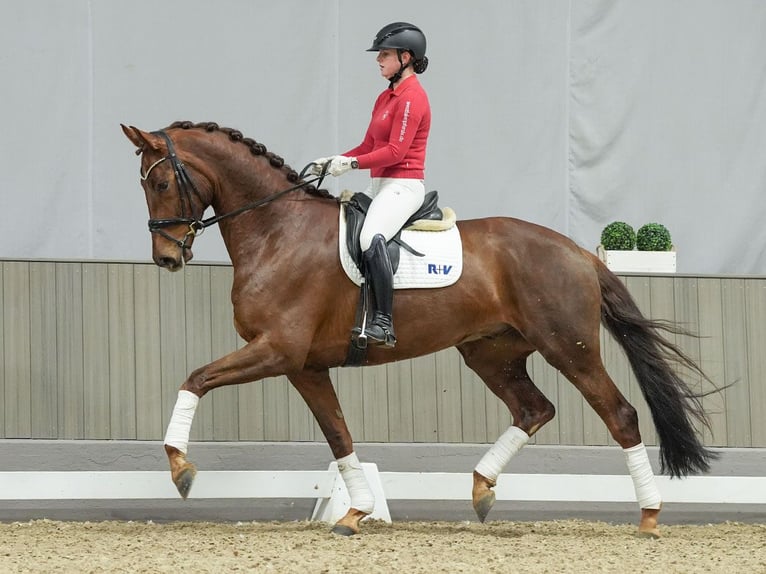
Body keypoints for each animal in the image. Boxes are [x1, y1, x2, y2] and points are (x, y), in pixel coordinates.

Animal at [121, 120, 720, 540]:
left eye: (160, 181)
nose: (166, 257)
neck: (277, 230)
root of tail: (579, 252)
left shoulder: (277, 351)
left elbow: (195, 378)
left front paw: (180, 468)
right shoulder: (305, 365)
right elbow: (339, 435)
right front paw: (355, 512)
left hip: (568, 349)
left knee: (619, 415)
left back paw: (649, 516)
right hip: (490, 353)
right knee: (534, 409)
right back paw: (481, 488)